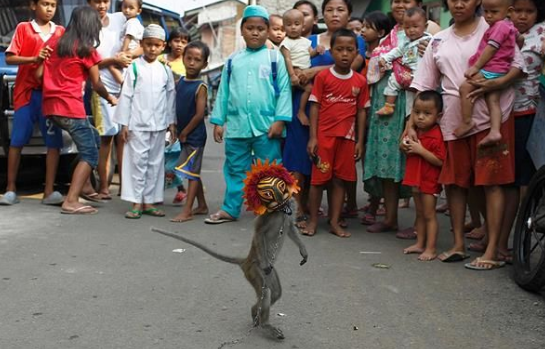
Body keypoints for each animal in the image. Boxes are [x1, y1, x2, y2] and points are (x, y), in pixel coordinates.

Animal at [151, 205, 308, 338]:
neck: (281, 209)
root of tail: (246, 260)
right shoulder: (267, 216)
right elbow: (259, 233)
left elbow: (291, 228)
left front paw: (303, 251)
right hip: (254, 270)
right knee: (268, 291)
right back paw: (264, 323)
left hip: (264, 271)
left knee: (275, 292)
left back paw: (255, 312)